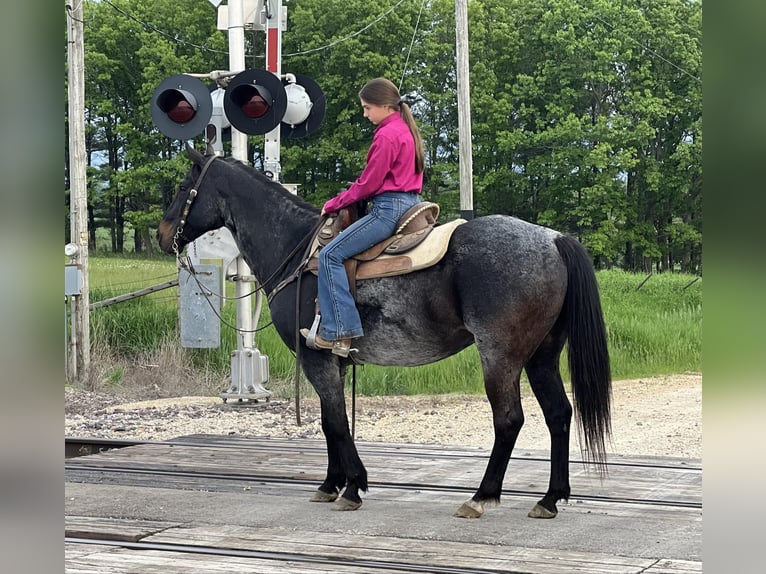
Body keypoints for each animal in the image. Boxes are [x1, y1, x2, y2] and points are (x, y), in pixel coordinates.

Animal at [158, 146, 612, 519]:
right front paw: (331, 483)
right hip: (541, 355)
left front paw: (352, 487)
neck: (297, 249)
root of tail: (553, 240)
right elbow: (332, 420)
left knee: (509, 419)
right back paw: (550, 498)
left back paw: (481, 496)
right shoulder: (333, 360)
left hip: (500, 355)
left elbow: (335, 422)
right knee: (558, 414)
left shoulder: (315, 358)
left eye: (183, 186)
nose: (163, 235)